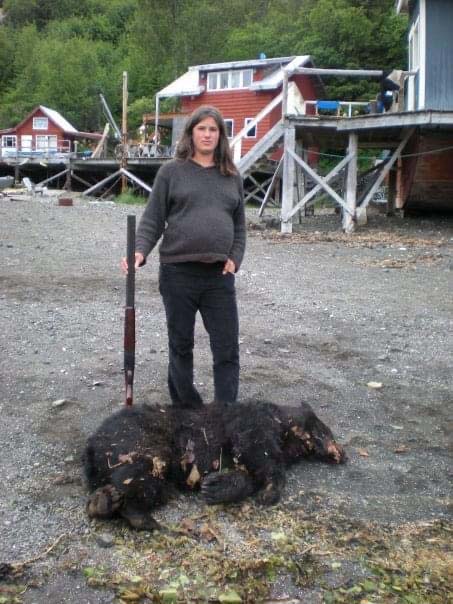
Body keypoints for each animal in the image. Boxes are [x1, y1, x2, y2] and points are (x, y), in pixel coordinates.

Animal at [85, 402, 344, 528]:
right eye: (326, 431)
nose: (343, 454)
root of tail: (91, 445)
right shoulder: (253, 423)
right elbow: (260, 456)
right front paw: (269, 492)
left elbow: (247, 474)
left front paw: (215, 487)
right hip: (138, 442)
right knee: (139, 474)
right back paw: (140, 517)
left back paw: (104, 502)